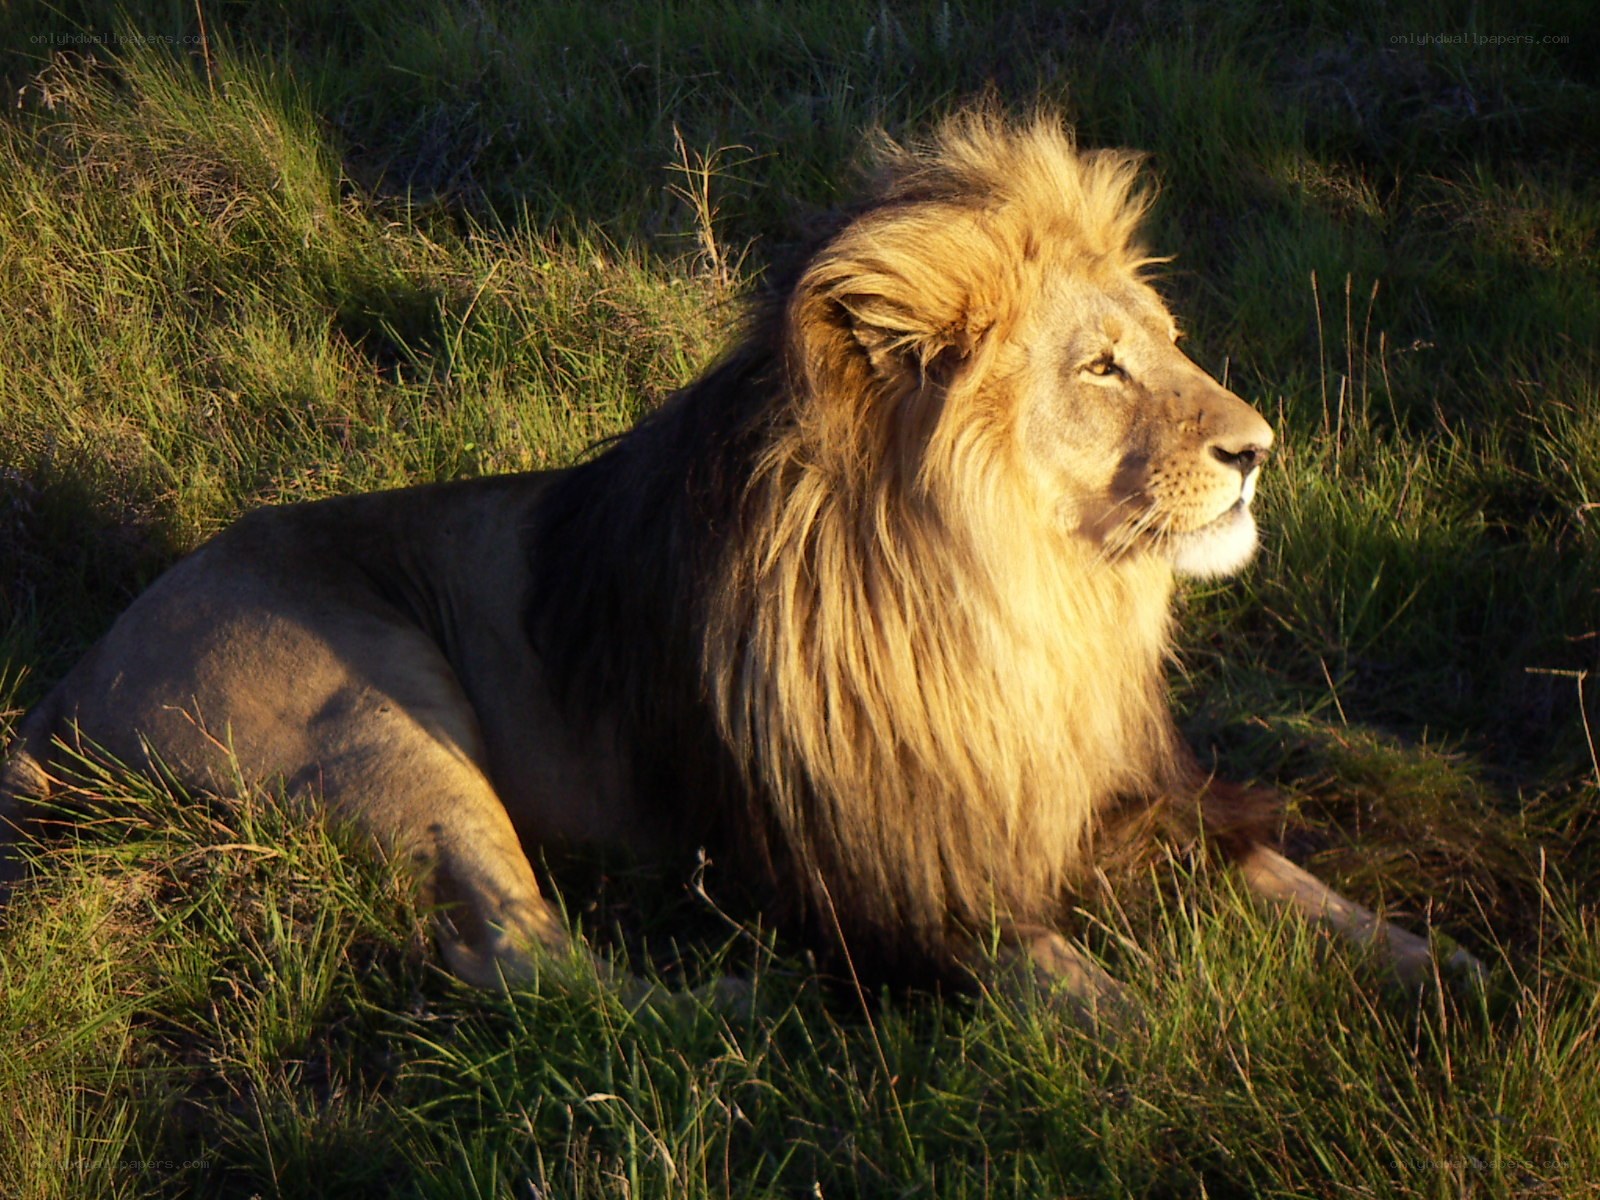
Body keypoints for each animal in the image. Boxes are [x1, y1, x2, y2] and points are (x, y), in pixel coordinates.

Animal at [1, 111, 1477, 1013]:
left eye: (1165, 343)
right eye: (1101, 369)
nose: (1259, 448)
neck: (1025, 605)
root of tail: (65, 684)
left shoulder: (1112, 791)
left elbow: (1294, 883)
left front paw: (1454, 970)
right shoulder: (903, 873)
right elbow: (1083, 994)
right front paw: (1158, 1056)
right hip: (377, 720)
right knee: (530, 963)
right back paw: (748, 1001)